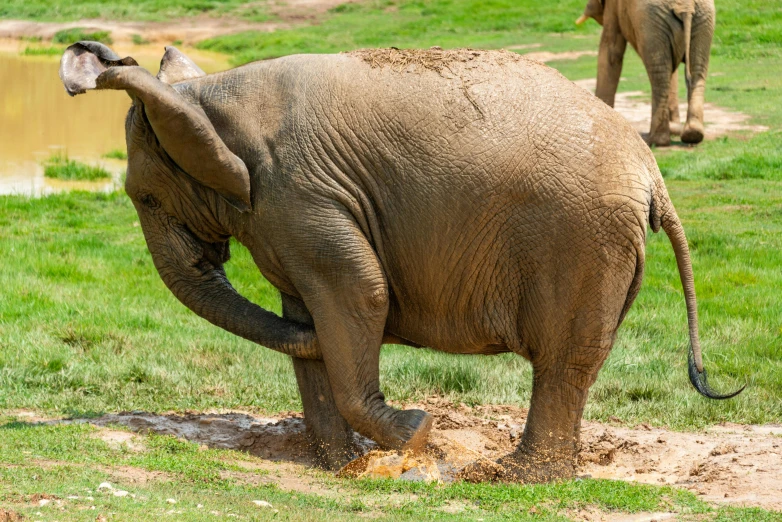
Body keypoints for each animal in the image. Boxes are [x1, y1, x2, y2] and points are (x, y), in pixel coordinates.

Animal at [58, 42, 740, 482]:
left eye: (145, 198)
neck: (209, 93)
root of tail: (652, 172)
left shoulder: (299, 195)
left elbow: (360, 294)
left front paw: (418, 432)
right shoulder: (293, 214)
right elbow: (310, 316)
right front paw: (346, 466)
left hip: (582, 242)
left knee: (564, 361)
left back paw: (517, 477)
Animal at [576, 0, 716, 146]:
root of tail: (685, 7)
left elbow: (611, 52)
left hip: (652, 24)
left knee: (659, 74)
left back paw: (654, 140)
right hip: (704, 20)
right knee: (695, 71)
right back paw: (692, 134)